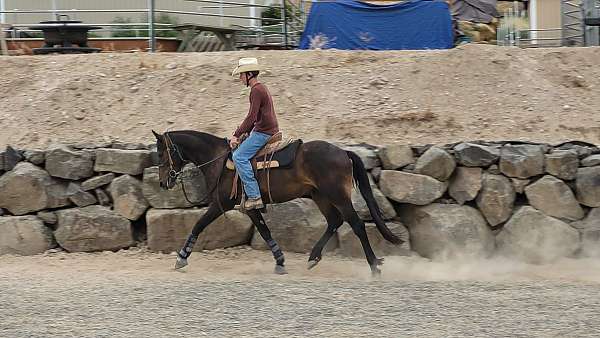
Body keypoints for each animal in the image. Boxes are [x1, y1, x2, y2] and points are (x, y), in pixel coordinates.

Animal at [152, 129, 400, 274]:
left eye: (162, 153)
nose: (164, 182)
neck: (220, 160)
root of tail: (343, 152)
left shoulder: (222, 203)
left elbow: (198, 225)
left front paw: (181, 257)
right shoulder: (250, 207)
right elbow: (264, 231)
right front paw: (280, 261)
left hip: (338, 196)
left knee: (356, 224)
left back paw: (374, 265)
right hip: (320, 196)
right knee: (334, 222)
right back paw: (313, 257)